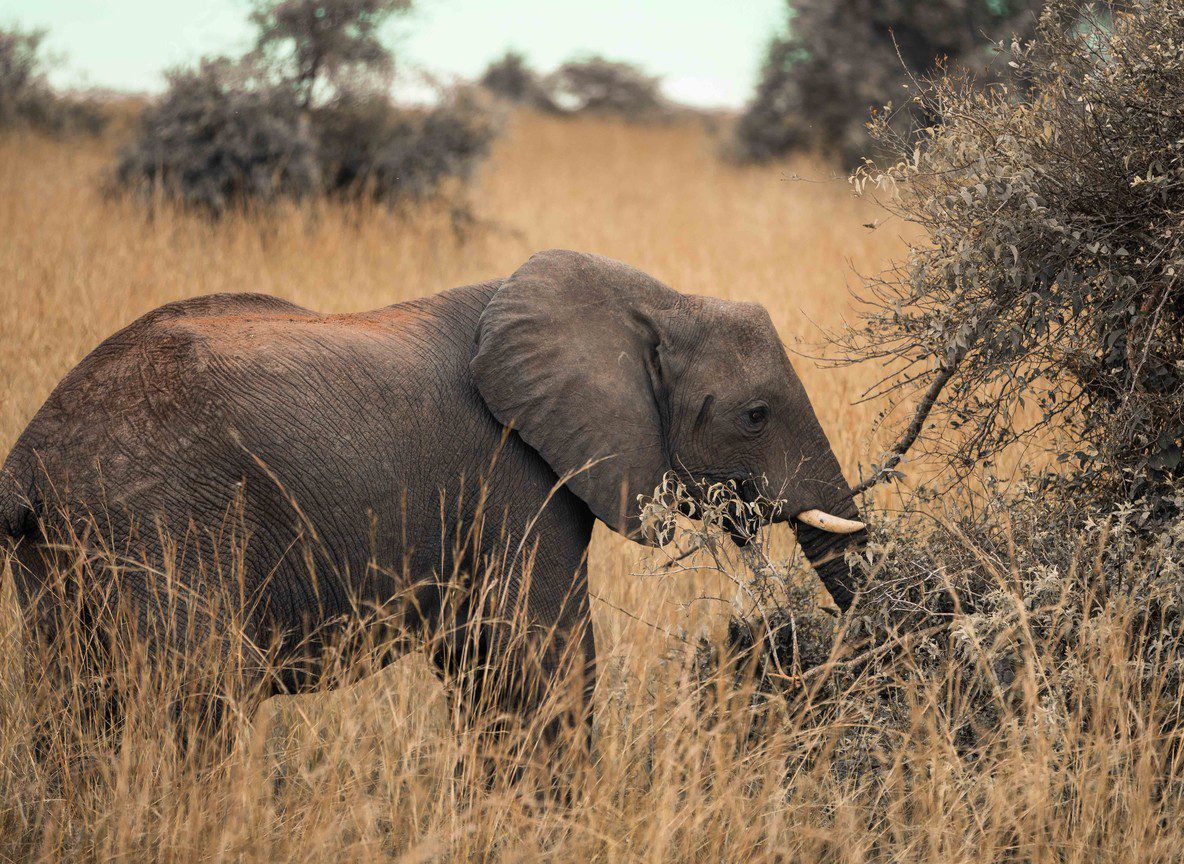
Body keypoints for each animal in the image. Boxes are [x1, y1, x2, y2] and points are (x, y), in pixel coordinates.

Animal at [0, 249, 866, 758]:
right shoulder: (514, 468)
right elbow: (539, 657)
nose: (764, 641)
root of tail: (27, 463)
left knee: (78, 702)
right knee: (196, 696)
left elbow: (482, 663)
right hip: (159, 521)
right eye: (755, 415)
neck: (657, 299)